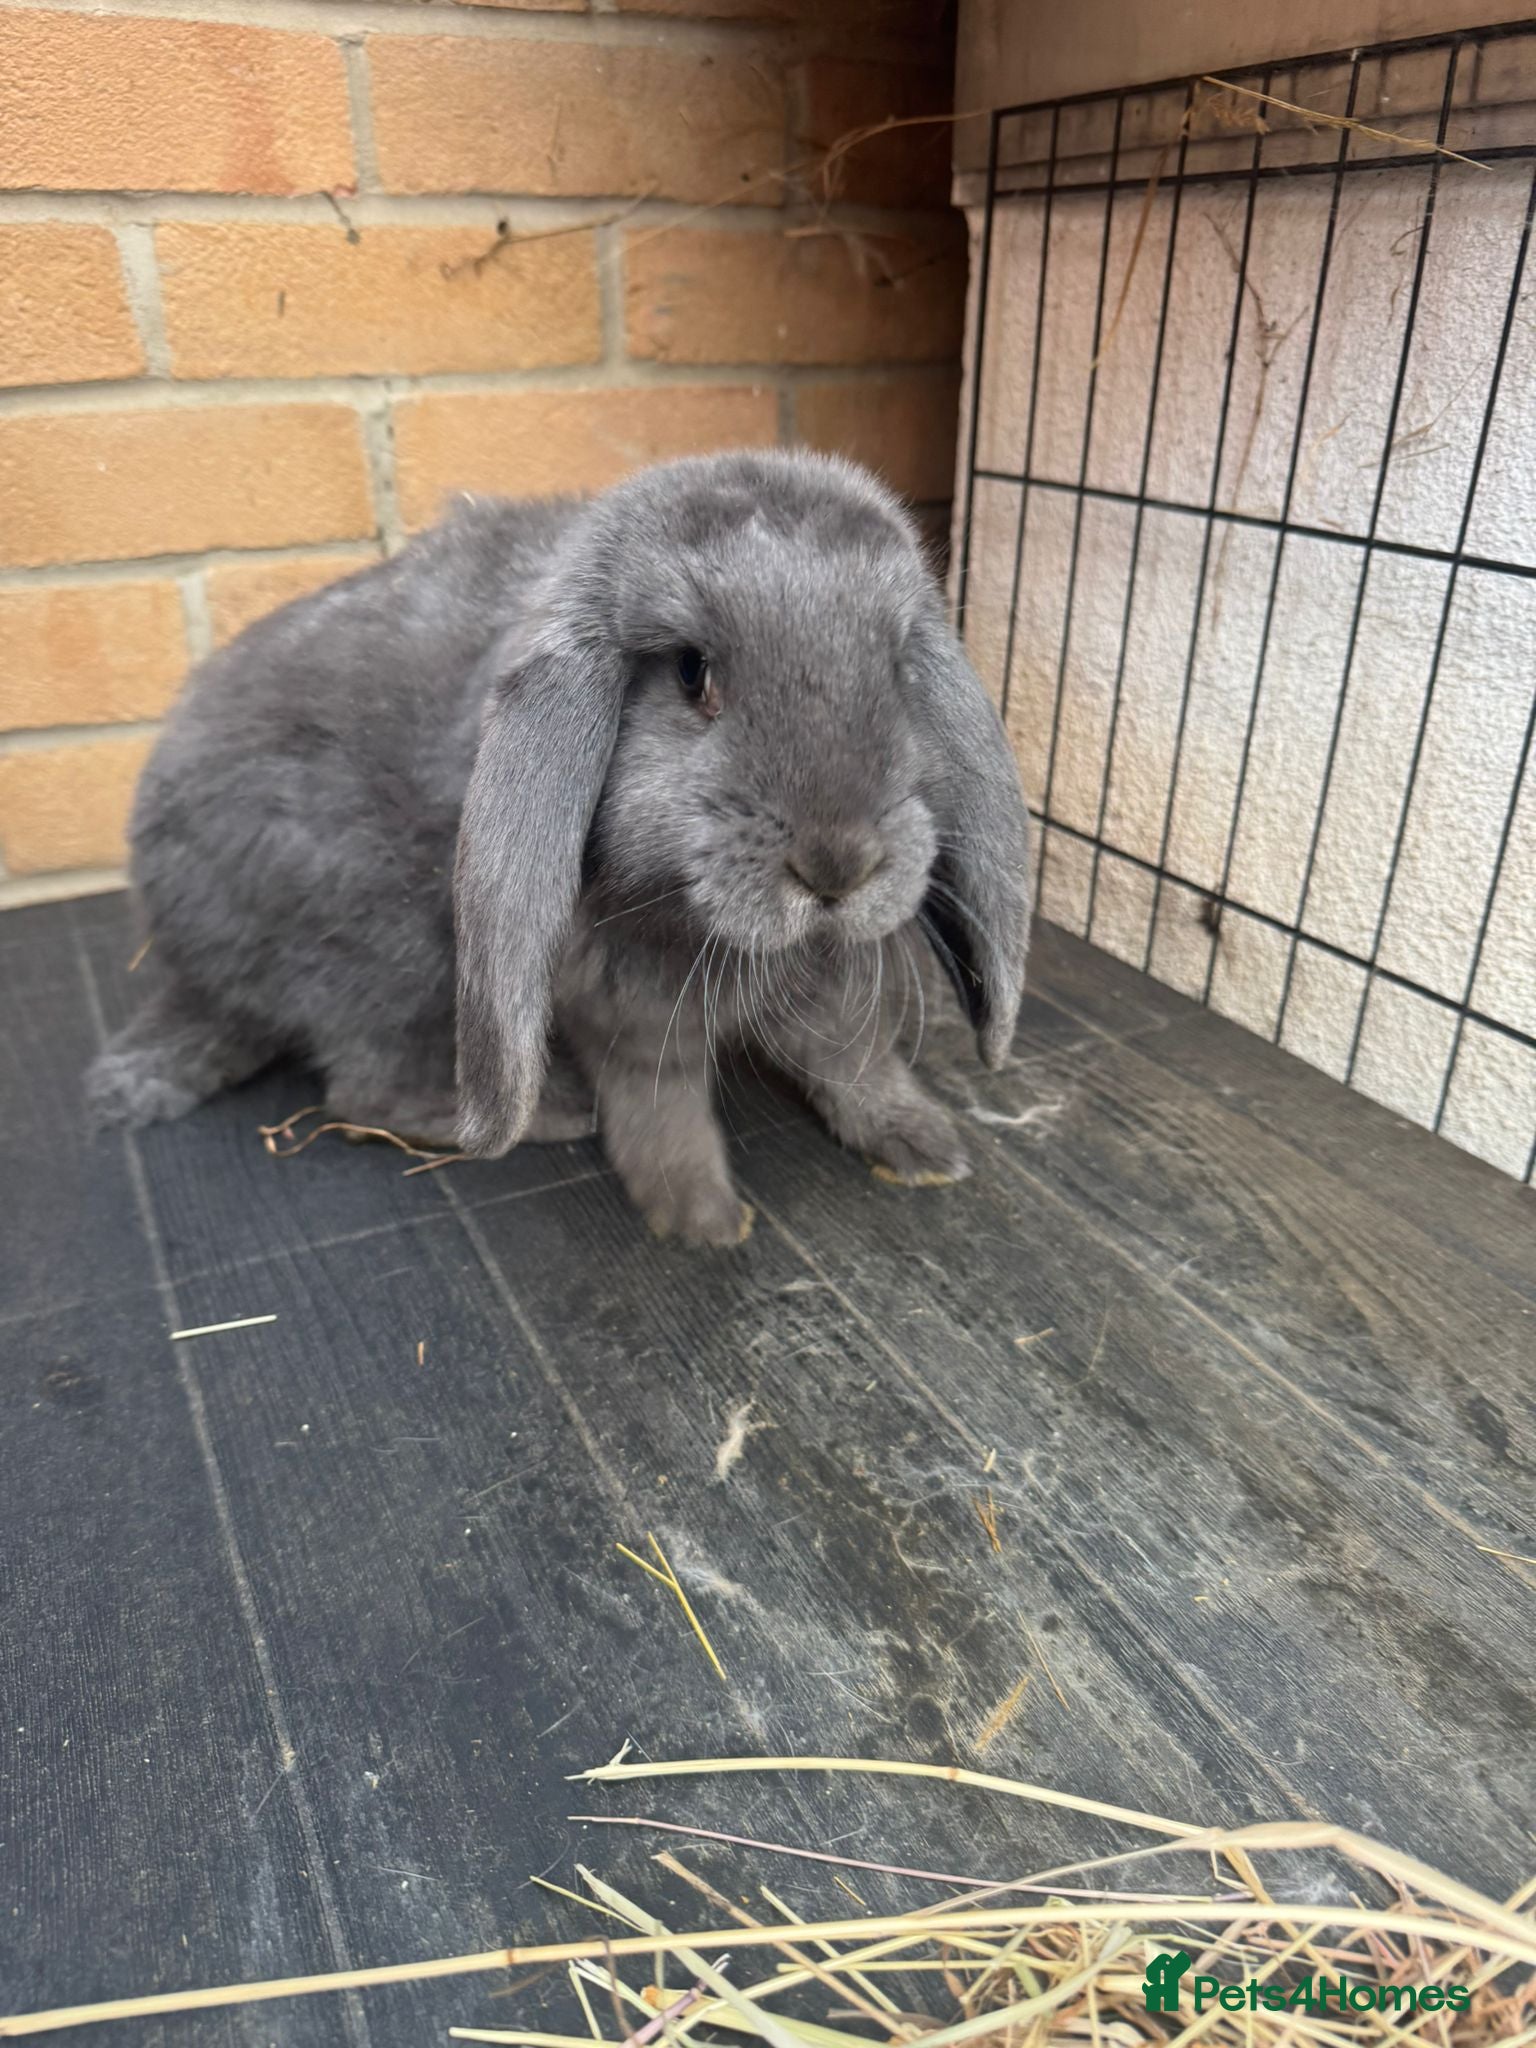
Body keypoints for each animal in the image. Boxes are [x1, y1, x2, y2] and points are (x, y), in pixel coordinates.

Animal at [86, 448, 1032, 1246]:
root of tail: (186, 964)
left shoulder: (833, 988)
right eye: (693, 674)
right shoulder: (619, 1005)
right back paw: (550, 1114)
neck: (710, 932)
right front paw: (700, 1219)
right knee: (363, 1088)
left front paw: (927, 1147)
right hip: (387, 956)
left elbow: (853, 1061)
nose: (839, 865)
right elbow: (660, 1104)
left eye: (898, 669)